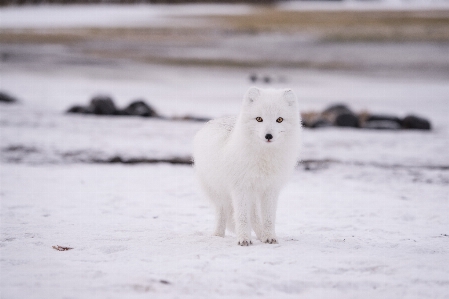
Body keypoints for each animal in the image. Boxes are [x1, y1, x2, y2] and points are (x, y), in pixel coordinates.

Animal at [191, 86, 300, 246]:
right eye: (259, 119)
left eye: (279, 119)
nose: (268, 136)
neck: (263, 159)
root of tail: (214, 120)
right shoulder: (240, 188)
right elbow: (242, 217)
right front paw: (243, 239)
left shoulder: (271, 188)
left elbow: (268, 218)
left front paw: (269, 237)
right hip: (219, 192)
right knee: (222, 213)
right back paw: (218, 235)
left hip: (252, 195)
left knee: (254, 217)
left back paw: (261, 235)